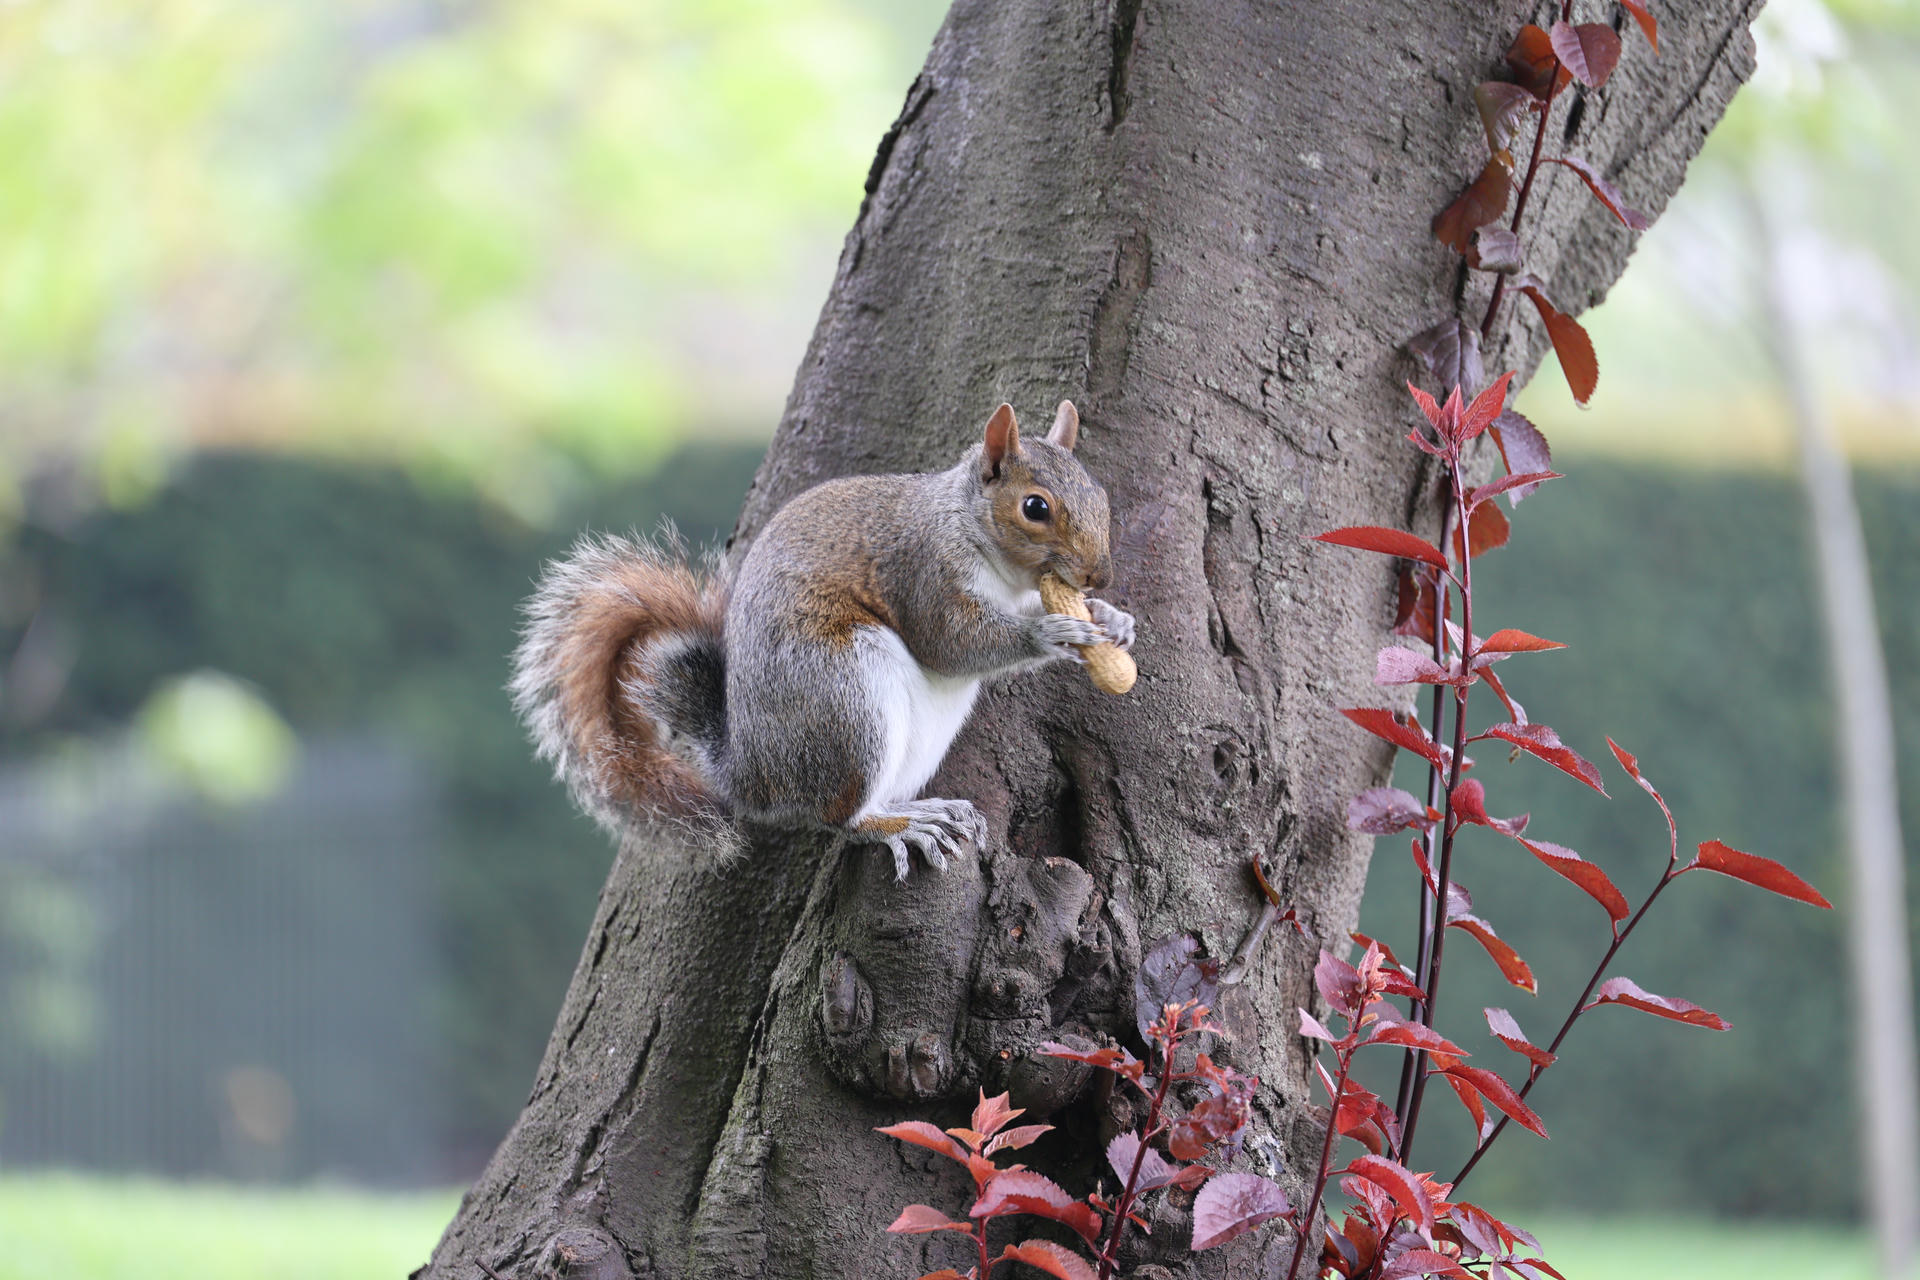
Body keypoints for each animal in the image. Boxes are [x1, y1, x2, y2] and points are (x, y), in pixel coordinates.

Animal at [511, 399, 1136, 880]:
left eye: (1103, 497)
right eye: (1035, 507)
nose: (1100, 577)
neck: (972, 532)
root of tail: (752, 776)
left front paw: (1111, 618)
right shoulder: (923, 570)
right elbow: (951, 642)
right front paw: (1051, 630)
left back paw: (923, 807)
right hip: (846, 697)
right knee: (841, 817)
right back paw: (899, 825)